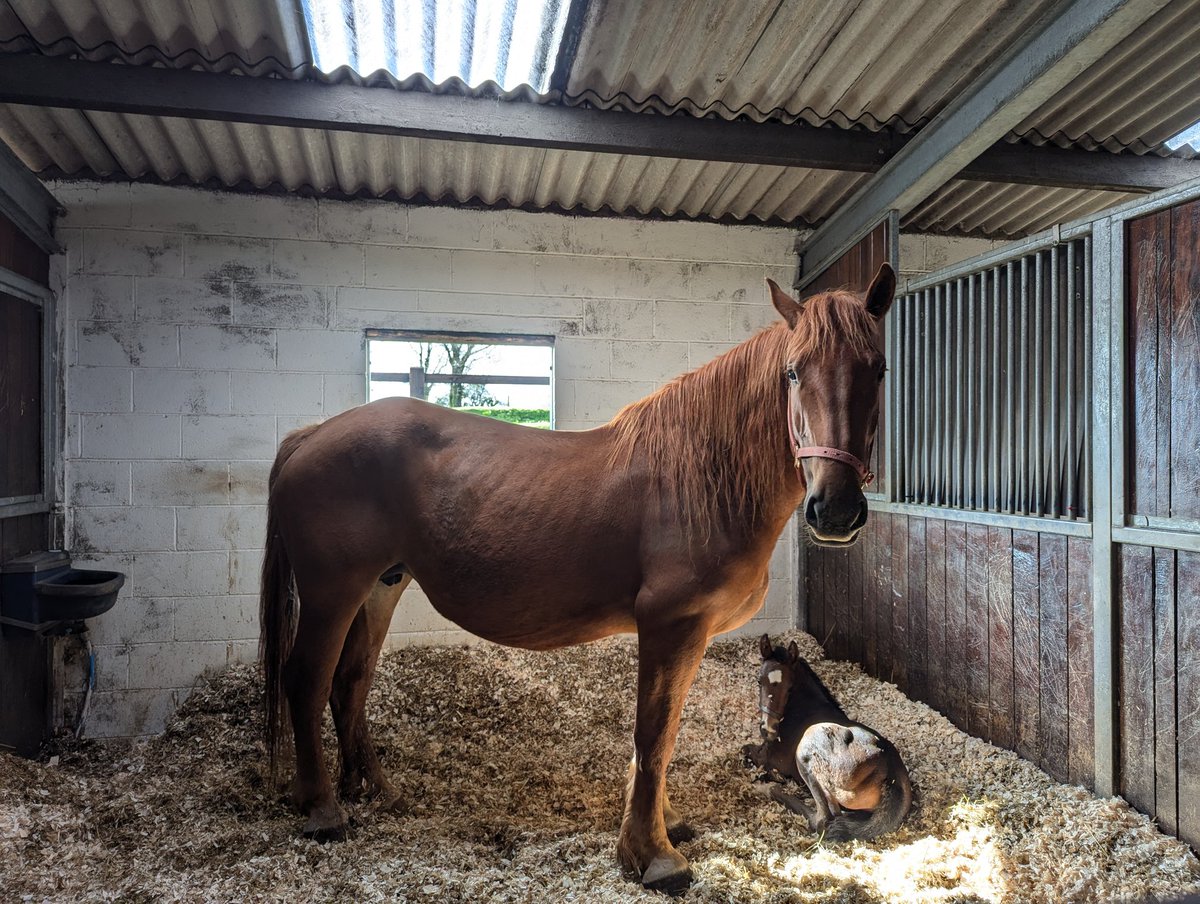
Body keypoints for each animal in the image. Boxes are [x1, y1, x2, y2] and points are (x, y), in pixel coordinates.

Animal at [743, 635, 913, 840]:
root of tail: (892, 776)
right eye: (759, 682)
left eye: (789, 687)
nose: (768, 729)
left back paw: (766, 788)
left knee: (821, 819)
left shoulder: (767, 757)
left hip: (807, 750)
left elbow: (746, 751)